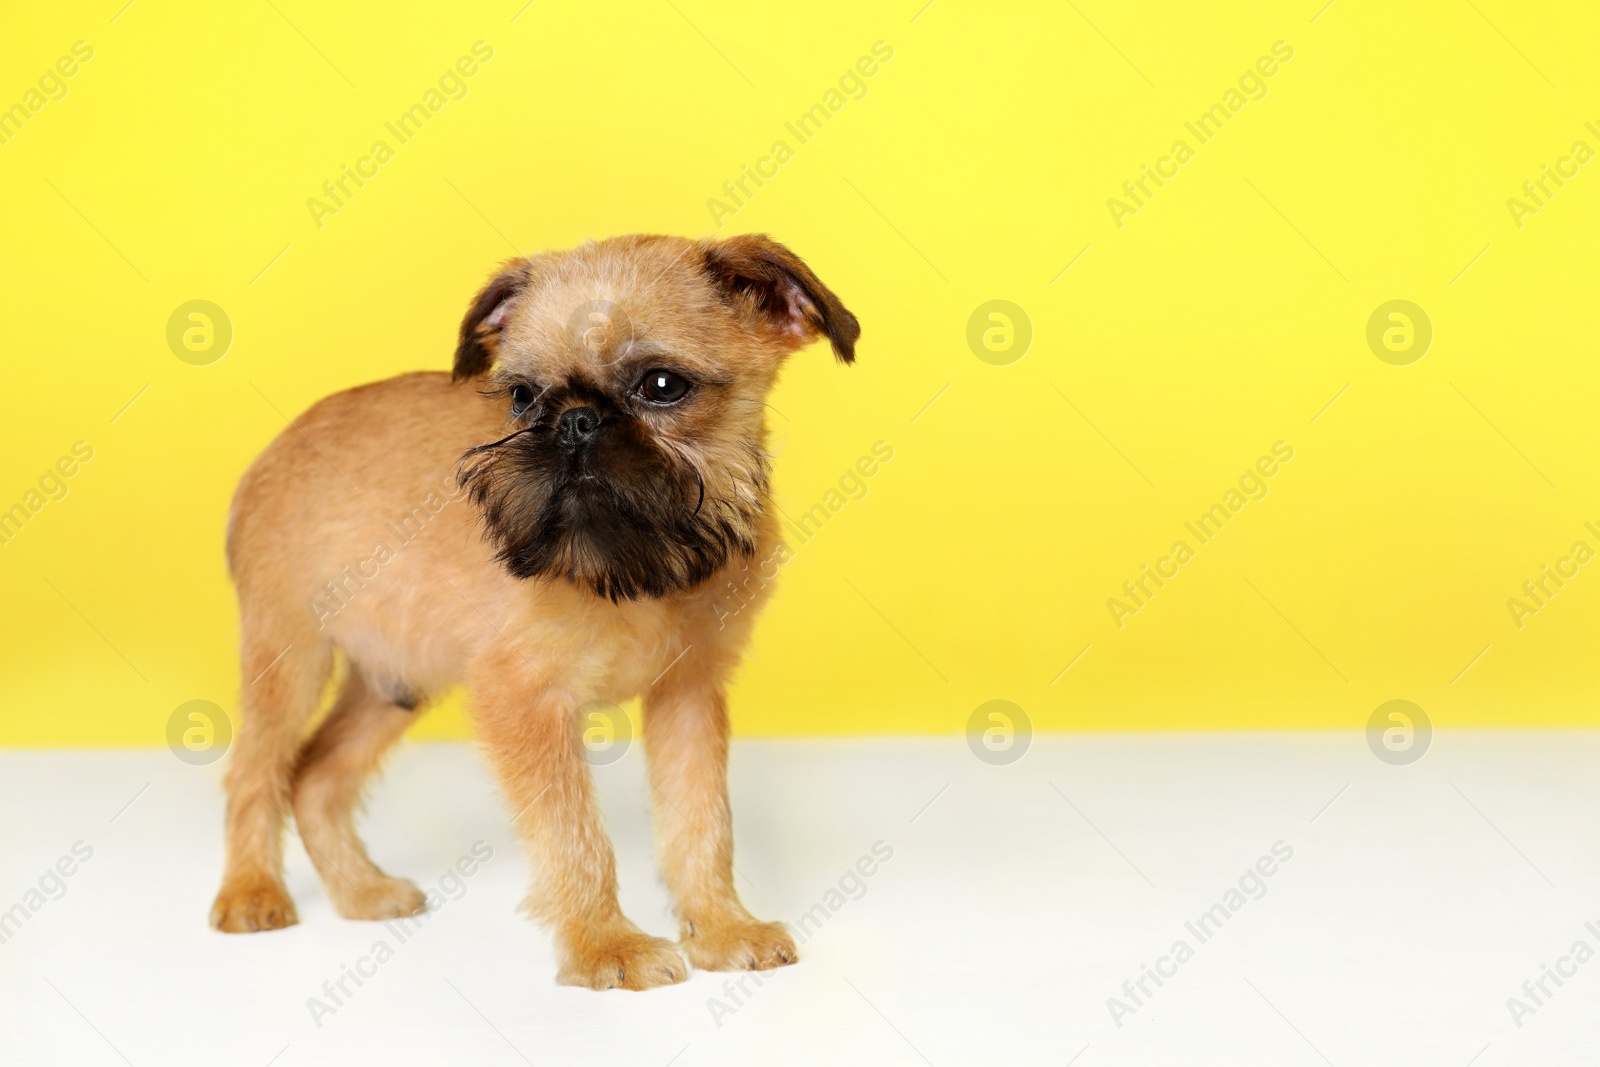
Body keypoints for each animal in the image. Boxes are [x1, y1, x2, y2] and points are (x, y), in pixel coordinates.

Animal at [212, 233, 864, 991]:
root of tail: (271, 453)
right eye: (523, 397)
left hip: (394, 678)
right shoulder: (525, 701)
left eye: (662, 386)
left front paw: (722, 927)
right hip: (290, 660)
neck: (638, 569)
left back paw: (359, 892)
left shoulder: (688, 695)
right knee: (256, 771)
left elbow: (702, 821)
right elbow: (574, 833)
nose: (573, 422)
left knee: (315, 777)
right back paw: (251, 893)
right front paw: (606, 947)